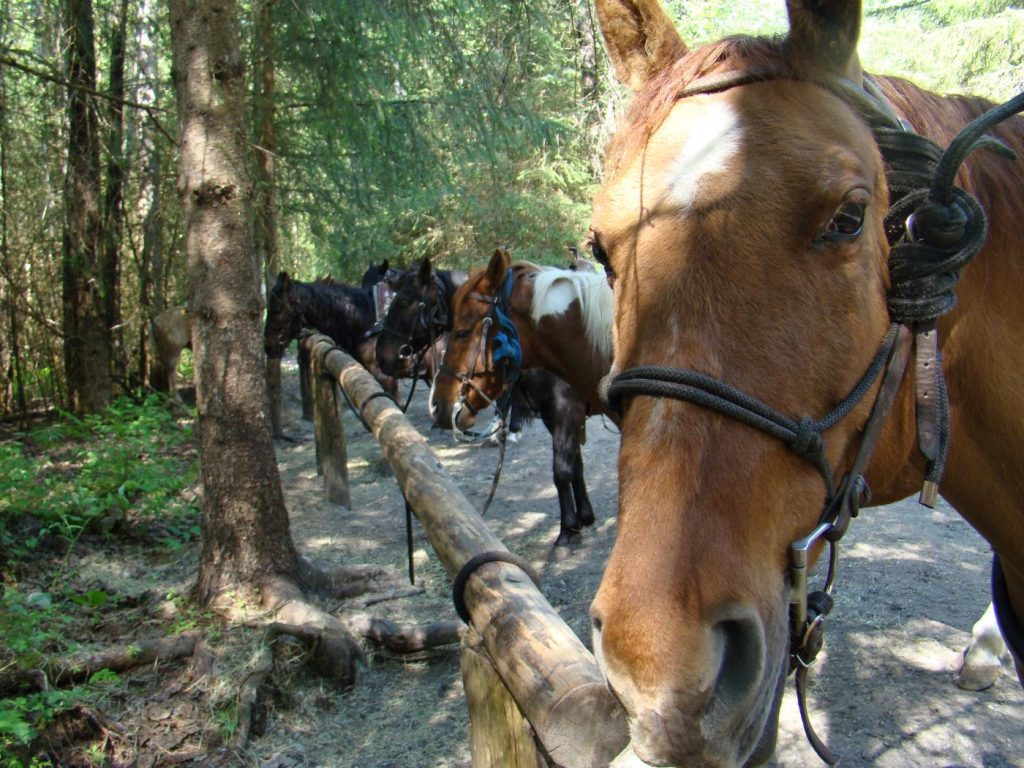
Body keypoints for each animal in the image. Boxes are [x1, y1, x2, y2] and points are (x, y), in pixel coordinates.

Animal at [380, 259, 598, 548]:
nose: (382, 359)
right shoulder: (553, 415)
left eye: (403, 301)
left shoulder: (566, 410)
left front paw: (566, 531)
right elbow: (575, 465)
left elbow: (562, 470)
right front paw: (583, 517)